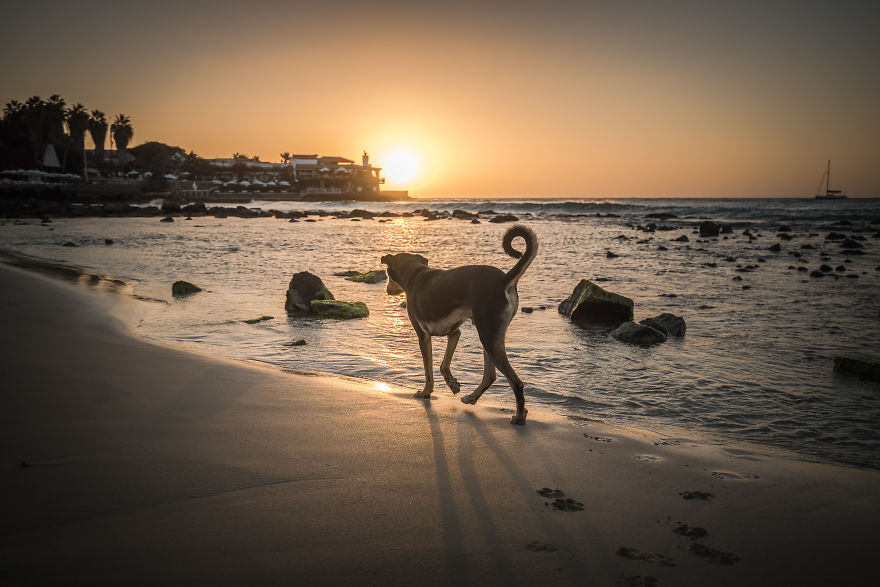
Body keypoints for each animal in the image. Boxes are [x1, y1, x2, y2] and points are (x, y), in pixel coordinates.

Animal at [384, 224, 540, 422]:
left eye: (388, 274)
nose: (387, 290)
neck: (414, 275)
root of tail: (504, 280)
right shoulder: (454, 333)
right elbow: (443, 365)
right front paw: (452, 384)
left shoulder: (423, 336)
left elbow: (429, 370)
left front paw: (426, 392)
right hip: (490, 336)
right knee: (490, 376)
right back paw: (472, 398)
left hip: (488, 335)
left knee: (516, 382)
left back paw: (519, 416)